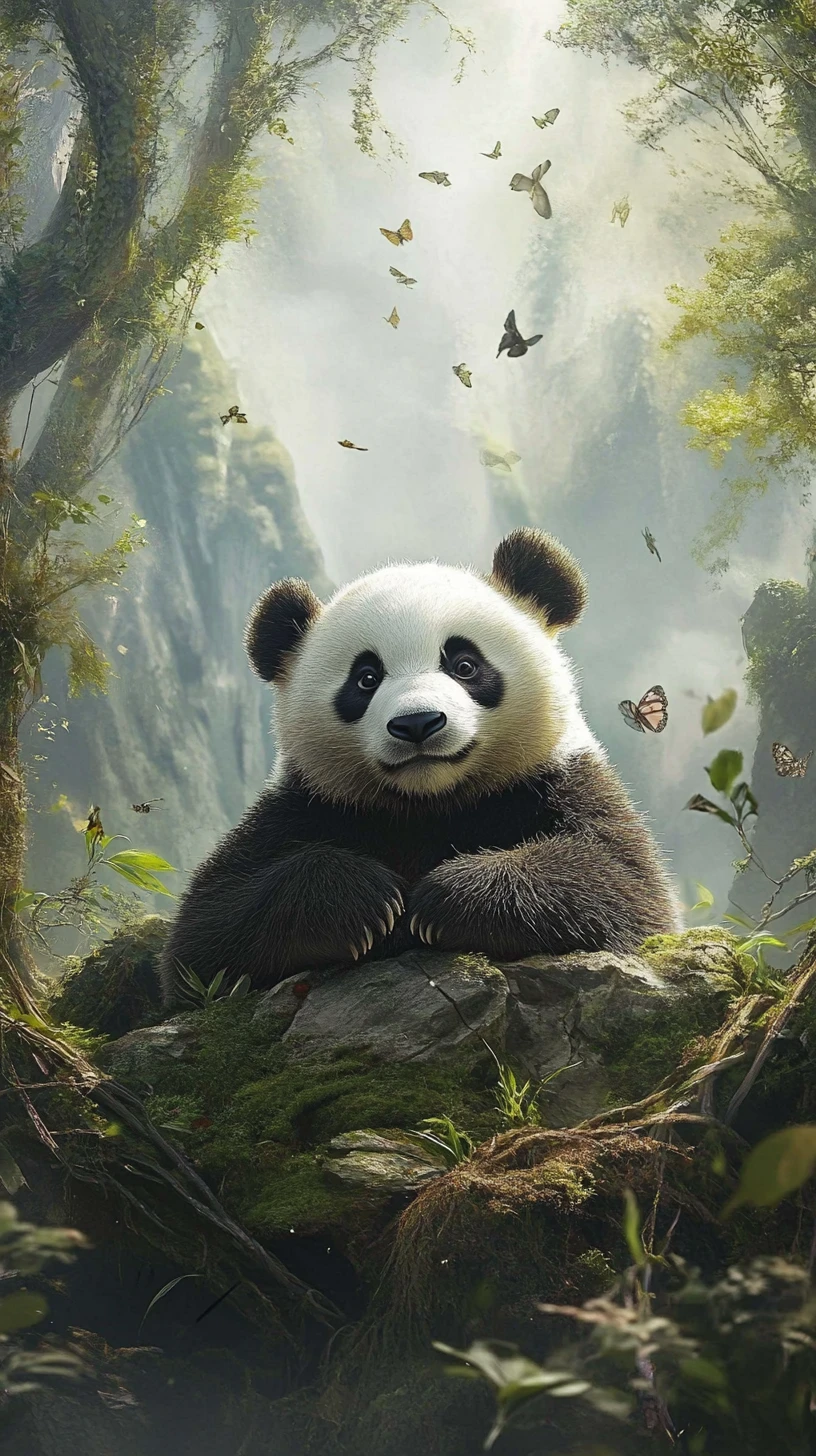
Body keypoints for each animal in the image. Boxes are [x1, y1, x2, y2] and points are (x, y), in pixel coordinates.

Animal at [160, 528, 681, 1003]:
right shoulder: (306, 804)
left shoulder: (558, 779)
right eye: (366, 678)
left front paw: (447, 900)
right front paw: (365, 901)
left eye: (464, 665)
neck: (430, 801)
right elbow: (206, 936)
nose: (417, 723)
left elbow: (623, 884)